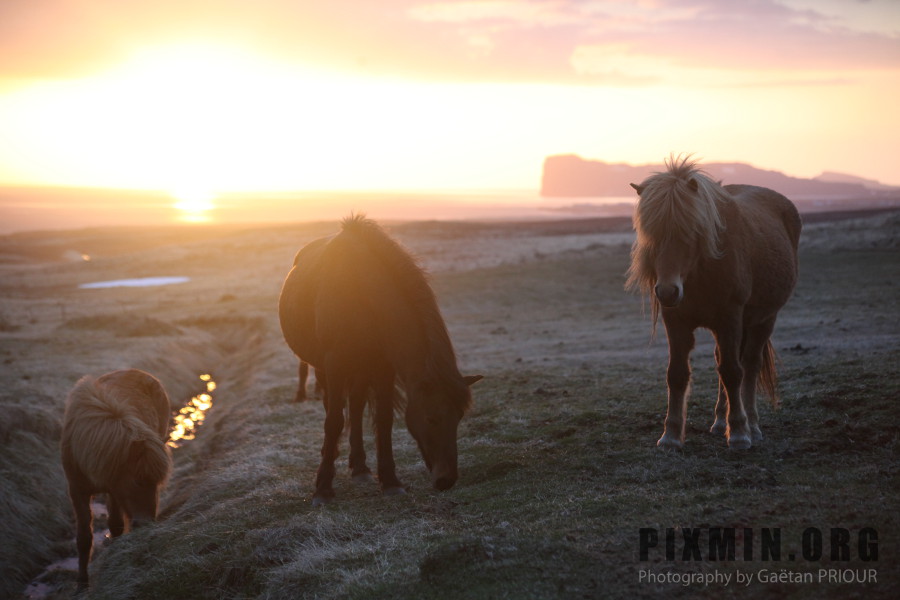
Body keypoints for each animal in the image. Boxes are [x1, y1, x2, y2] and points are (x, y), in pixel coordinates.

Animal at [60, 368, 173, 588]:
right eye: (137, 481)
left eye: (156, 483)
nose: (146, 523)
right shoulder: (77, 490)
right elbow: (84, 537)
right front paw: (82, 583)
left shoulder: (114, 487)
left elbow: (116, 525)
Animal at [278, 216, 482, 506]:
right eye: (431, 418)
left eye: (459, 417)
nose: (447, 480)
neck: (360, 290)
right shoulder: (334, 364)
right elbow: (334, 421)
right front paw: (323, 489)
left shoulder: (383, 367)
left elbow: (383, 420)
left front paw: (390, 481)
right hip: (325, 368)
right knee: (334, 408)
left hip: (361, 369)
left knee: (356, 407)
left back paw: (360, 468)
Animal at [624, 157, 800, 448]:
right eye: (650, 235)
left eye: (688, 232)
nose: (667, 292)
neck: (699, 272)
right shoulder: (677, 321)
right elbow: (677, 373)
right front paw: (671, 435)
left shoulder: (730, 318)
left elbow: (732, 372)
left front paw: (739, 432)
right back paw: (719, 422)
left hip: (764, 319)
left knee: (749, 366)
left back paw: (752, 424)